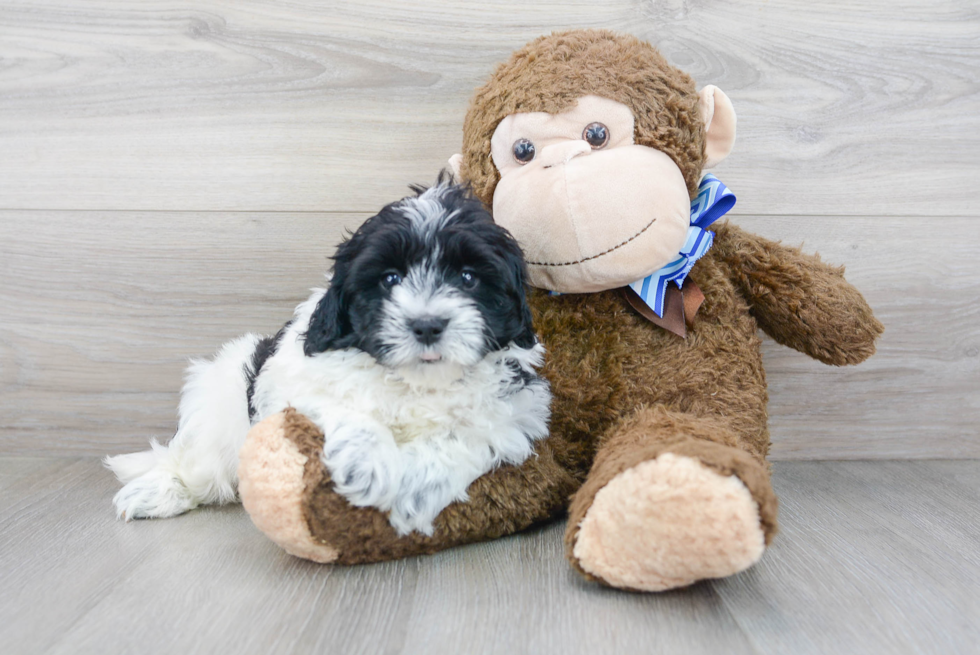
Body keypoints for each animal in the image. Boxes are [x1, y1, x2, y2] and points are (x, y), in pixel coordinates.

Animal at [109, 181, 552, 540]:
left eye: (468, 278)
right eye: (390, 279)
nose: (426, 325)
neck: (418, 382)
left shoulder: (514, 414)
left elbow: (462, 439)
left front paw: (411, 492)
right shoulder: (295, 380)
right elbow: (347, 409)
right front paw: (367, 465)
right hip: (220, 408)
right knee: (197, 464)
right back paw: (156, 492)